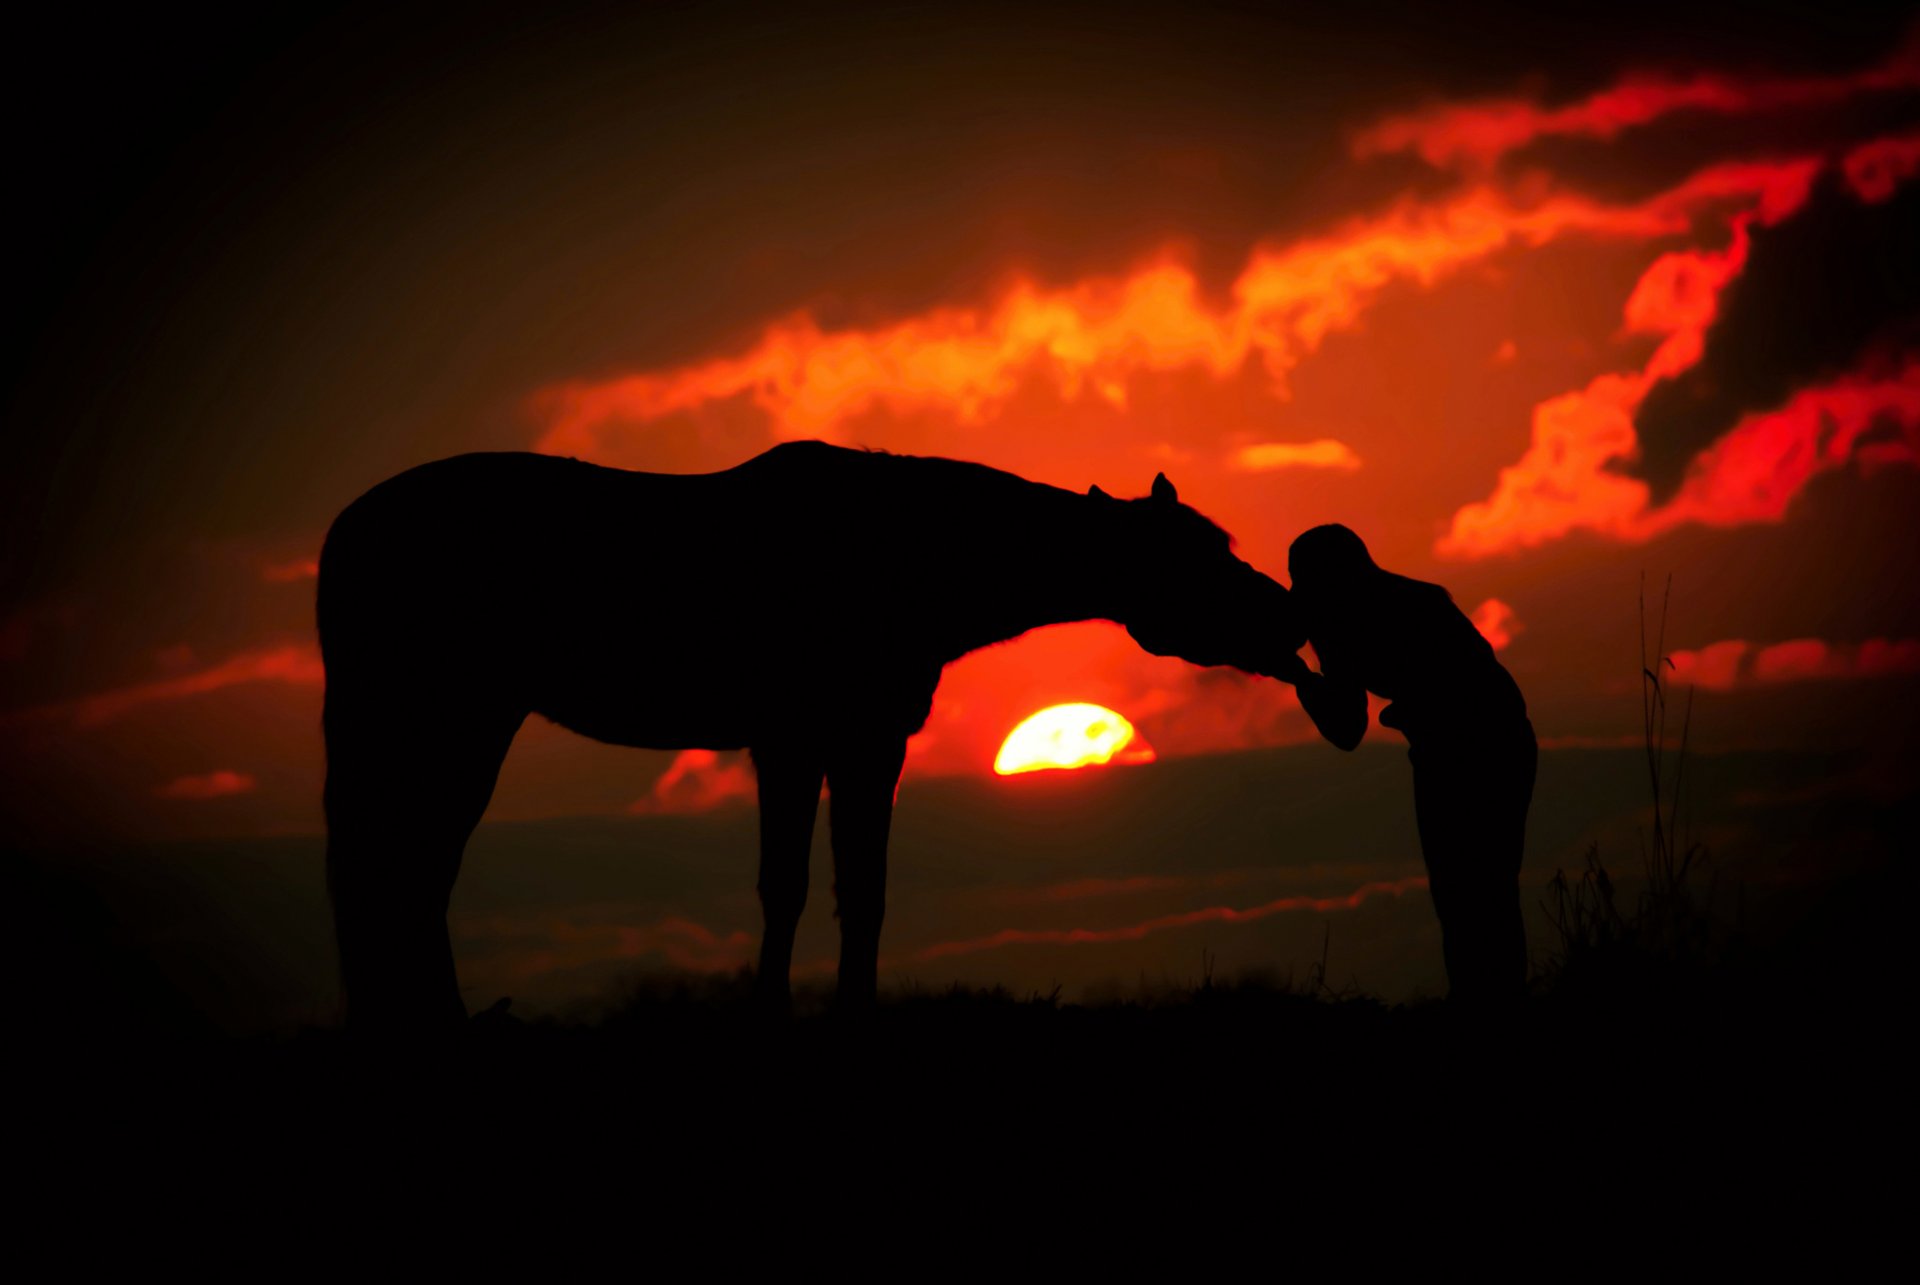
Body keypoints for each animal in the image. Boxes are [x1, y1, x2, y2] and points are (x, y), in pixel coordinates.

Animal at [317, 440, 1298, 1029]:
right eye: (1194, 558)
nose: (1285, 618)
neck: (906, 558)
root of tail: (345, 528)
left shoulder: (867, 742)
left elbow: (861, 888)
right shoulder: (791, 741)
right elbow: (785, 886)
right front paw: (775, 1014)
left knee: (406, 866)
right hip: (444, 716)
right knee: (401, 864)